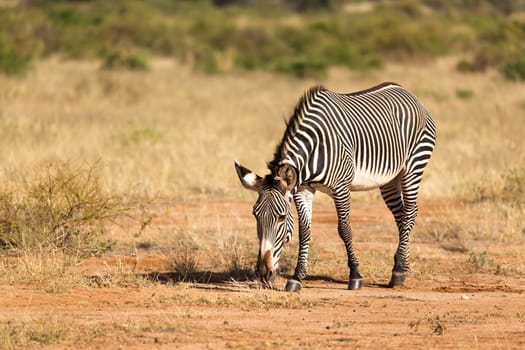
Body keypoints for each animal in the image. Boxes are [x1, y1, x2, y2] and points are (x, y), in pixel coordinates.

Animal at [235, 81, 436, 290]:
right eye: (255, 215)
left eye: (281, 217)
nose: (263, 273)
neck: (313, 149)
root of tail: (407, 92)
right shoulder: (303, 189)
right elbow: (305, 231)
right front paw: (297, 277)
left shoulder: (341, 188)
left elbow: (344, 229)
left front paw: (355, 275)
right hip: (389, 180)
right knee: (402, 216)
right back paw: (402, 265)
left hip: (413, 166)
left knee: (410, 211)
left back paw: (398, 272)